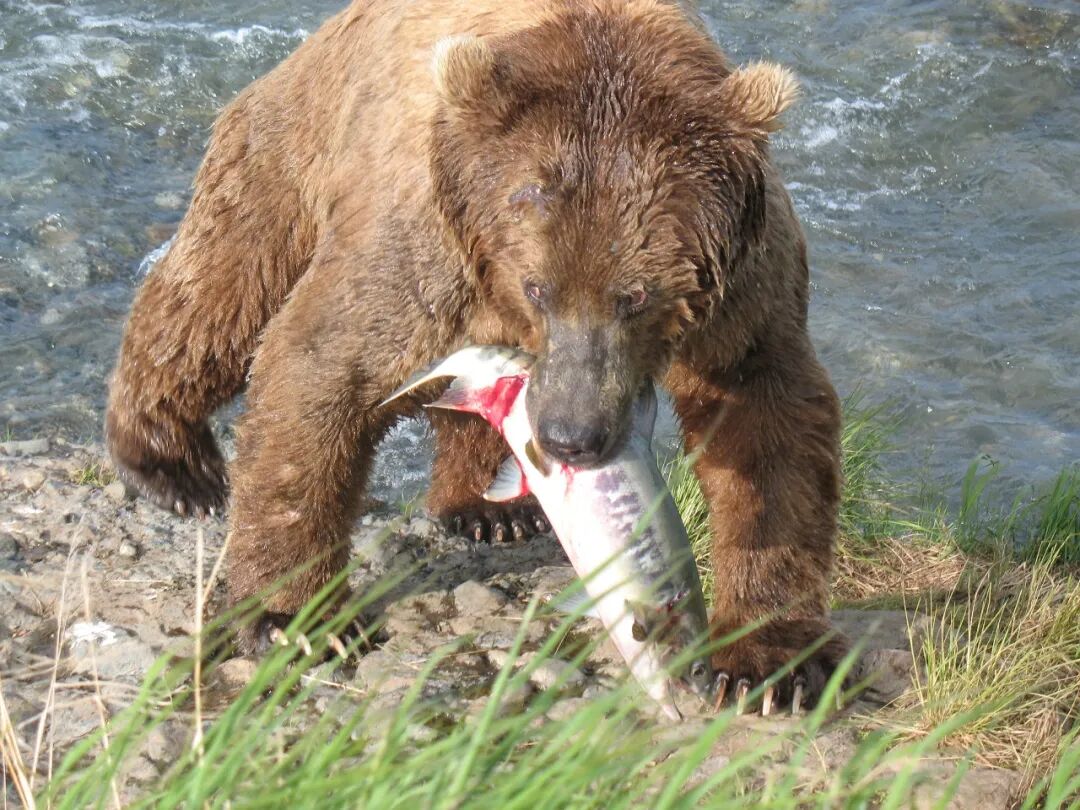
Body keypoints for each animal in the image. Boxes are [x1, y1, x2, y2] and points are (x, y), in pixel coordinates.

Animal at [105, 0, 846, 710]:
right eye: (539, 286)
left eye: (634, 296)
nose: (572, 435)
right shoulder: (428, 241)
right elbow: (320, 367)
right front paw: (294, 619)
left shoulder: (741, 288)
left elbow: (768, 424)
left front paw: (770, 665)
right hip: (288, 150)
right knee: (219, 291)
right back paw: (174, 465)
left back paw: (491, 511)